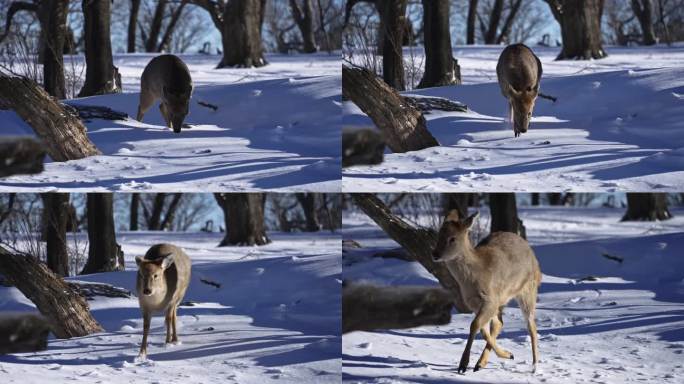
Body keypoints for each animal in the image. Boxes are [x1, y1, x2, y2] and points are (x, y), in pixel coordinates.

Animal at [432, 208, 540, 374]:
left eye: (452, 238)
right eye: (438, 235)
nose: (435, 254)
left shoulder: (490, 299)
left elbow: (475, 325)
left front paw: (463, 365)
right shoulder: (475, 302)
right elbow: (482, 328)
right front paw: (505, 355)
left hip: (527, 289)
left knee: (531, 325)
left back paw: (534, 366)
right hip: (502, 300)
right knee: (499, 323)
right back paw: (485, 362)